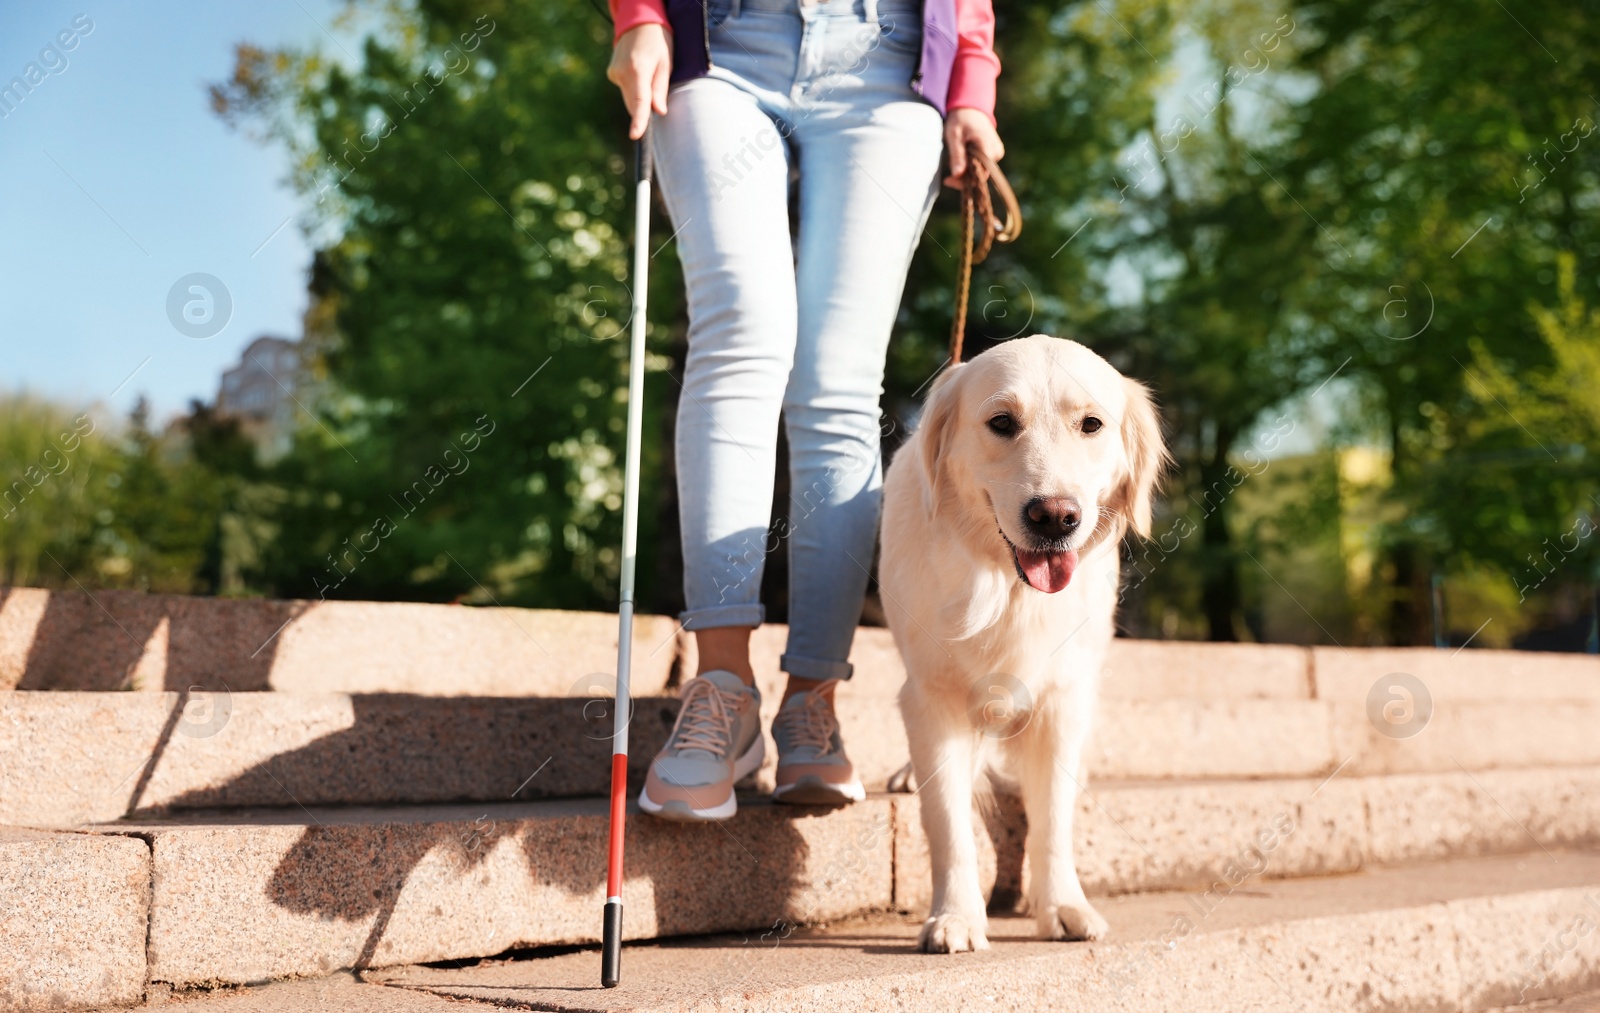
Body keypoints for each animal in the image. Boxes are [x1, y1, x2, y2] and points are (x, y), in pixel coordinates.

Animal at [883, 331, 1171, 947]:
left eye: (1091, 424)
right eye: (1001, 422)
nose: (1055, 517)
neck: (1009, 589)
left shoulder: (1063, 700)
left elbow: (1053, 819)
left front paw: (1062, 904)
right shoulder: (934, 697)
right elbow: (948, 821)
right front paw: (955, 916)